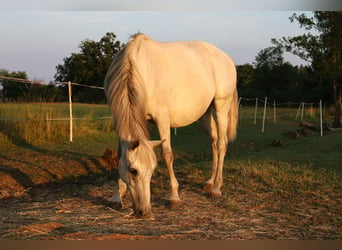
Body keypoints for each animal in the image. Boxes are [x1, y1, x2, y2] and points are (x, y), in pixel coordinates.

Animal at [104, 33, 238, 217]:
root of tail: (227, 58)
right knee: (215, 141)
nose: (143, 211)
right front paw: (116, 197)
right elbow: (120, 155)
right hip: (204, 115)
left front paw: (174, 197)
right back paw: (210, 182)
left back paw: (216, 188)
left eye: (152, 170)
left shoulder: (162, 118)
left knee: (222, 144)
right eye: (133, 171)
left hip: (221, 106)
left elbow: (167, 154)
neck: (140, 69)